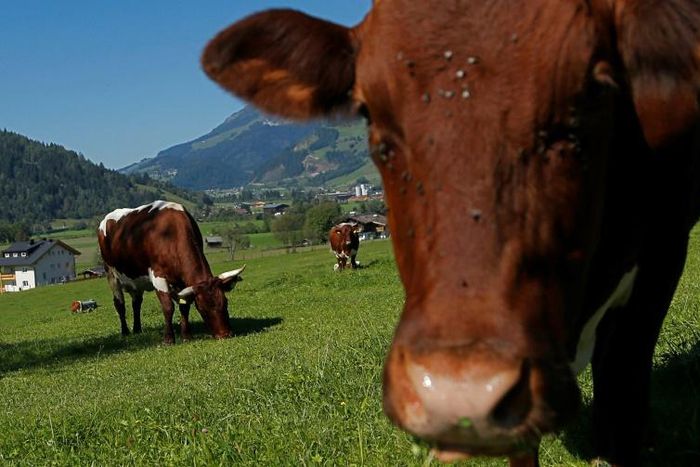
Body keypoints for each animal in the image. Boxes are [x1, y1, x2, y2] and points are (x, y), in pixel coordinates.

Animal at [97, 201, 245, 343]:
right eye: (202, 308)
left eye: (225, 302)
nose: (225, 334)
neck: (170, 234)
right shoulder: (158, 276)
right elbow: (168, 307)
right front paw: (168, 339)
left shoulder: (182, 282)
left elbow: (184, 306)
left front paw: (186, 335)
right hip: (111, 274)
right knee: (120, 304)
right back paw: (125, 331)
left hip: (135, 279)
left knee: (136, 303)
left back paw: (137, 329)